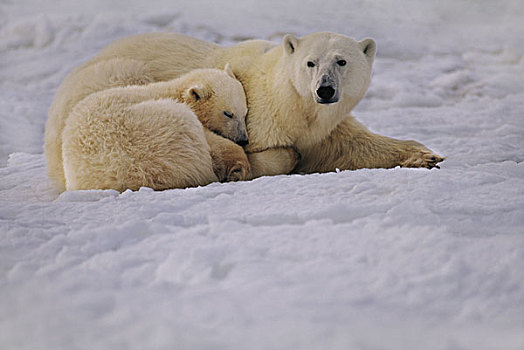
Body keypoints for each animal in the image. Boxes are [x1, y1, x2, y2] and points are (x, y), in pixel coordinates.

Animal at [61, 67, 250, 193]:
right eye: (228, 113)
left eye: (245, 112)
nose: (243, 139)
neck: (171, 91)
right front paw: (238, 165)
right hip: (165, 129)